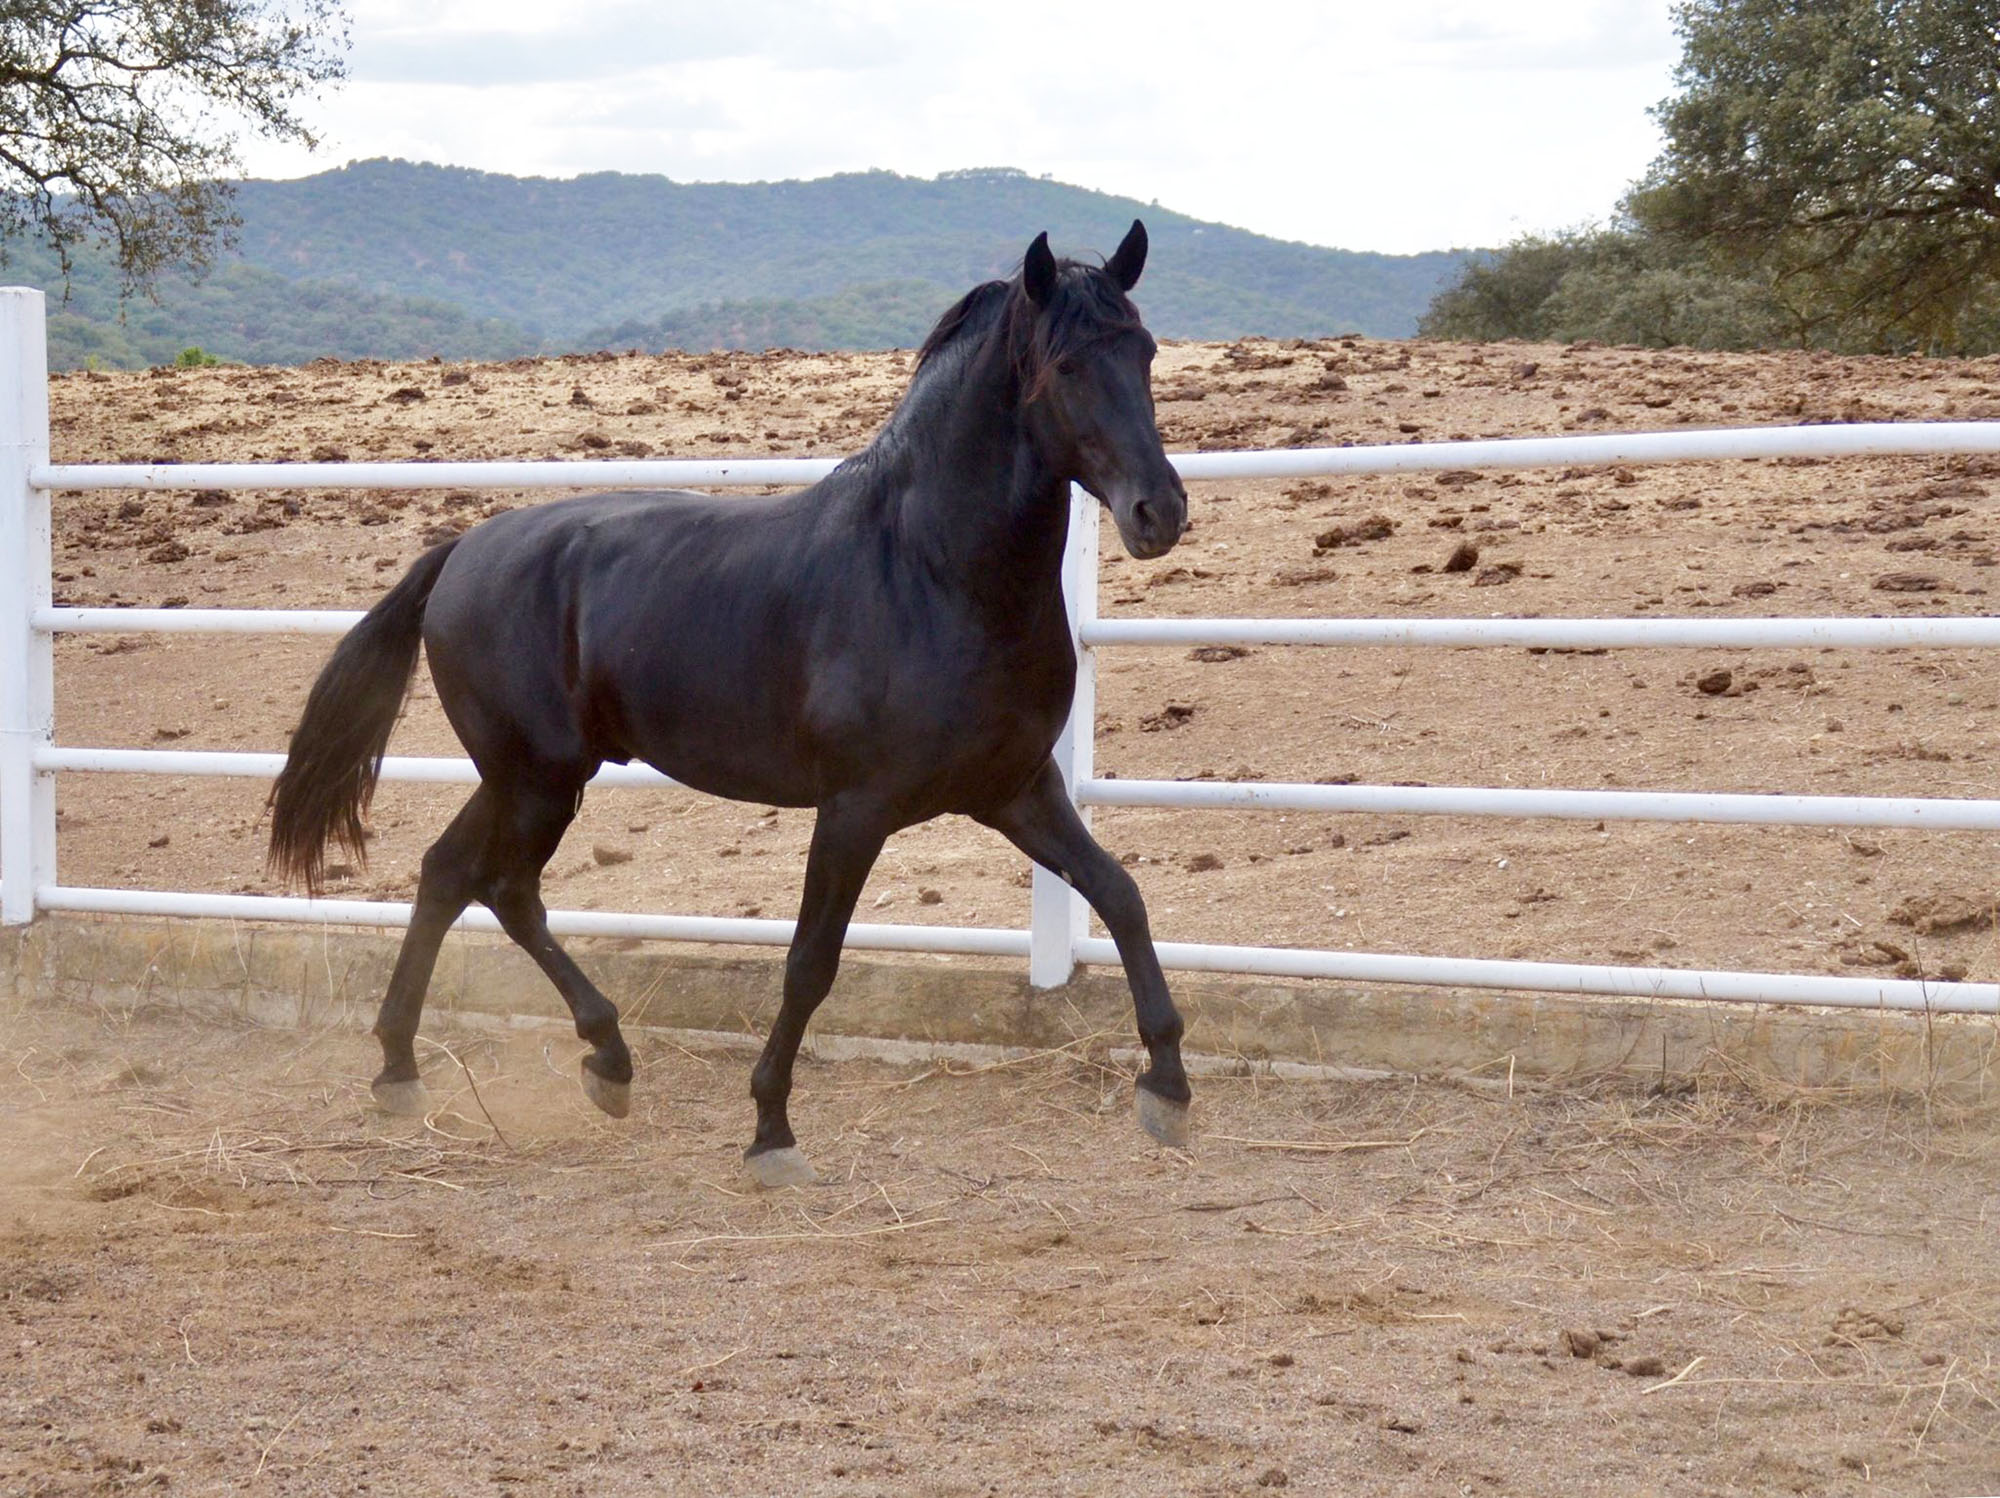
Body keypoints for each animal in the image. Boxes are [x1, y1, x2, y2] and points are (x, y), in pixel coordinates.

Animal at [274, 219, 1192, 1184]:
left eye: (1142, 351)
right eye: (1067, 367)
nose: (1159, 512)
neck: (930, 571)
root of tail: (460, 552)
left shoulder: (1017, 790)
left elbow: (1121, 894)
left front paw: (1167, 1087)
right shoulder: (855, 809)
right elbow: (810, 963)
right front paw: (771, 1131)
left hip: (526, 779)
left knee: (452, 876)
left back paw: (436, 1068)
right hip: (537, 779)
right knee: (500, 885)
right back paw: (576, 1058)